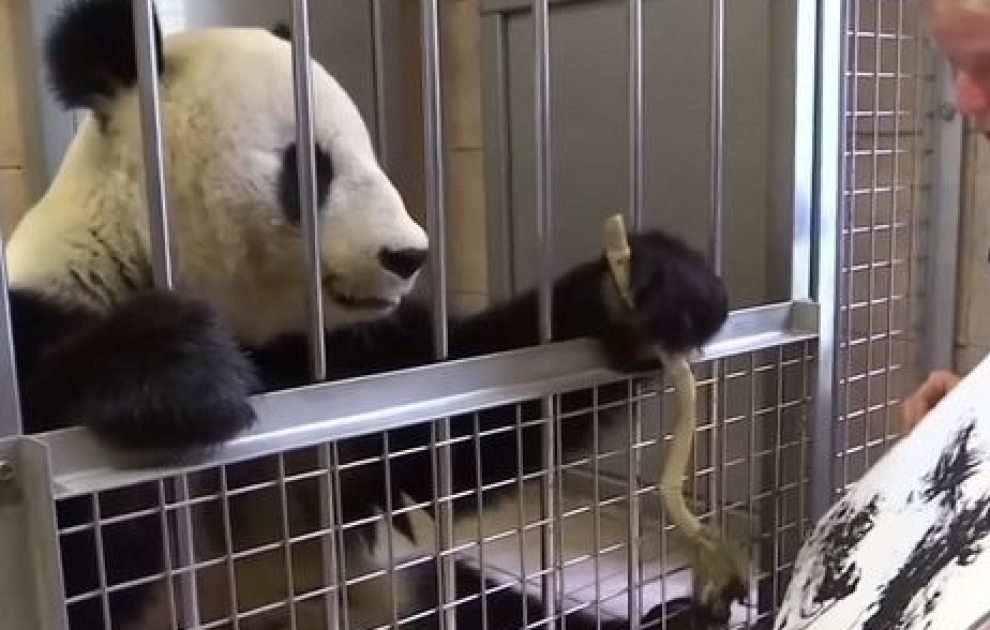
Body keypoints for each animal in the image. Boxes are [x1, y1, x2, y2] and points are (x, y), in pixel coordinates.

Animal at [9, 0, 733, 629]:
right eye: (312, 168)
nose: (409, 255)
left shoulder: (346, 362)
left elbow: (461, 426)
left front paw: (654, 287)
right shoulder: (46, 315)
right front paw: (174, 372)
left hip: (408, 591)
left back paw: (682, 615)